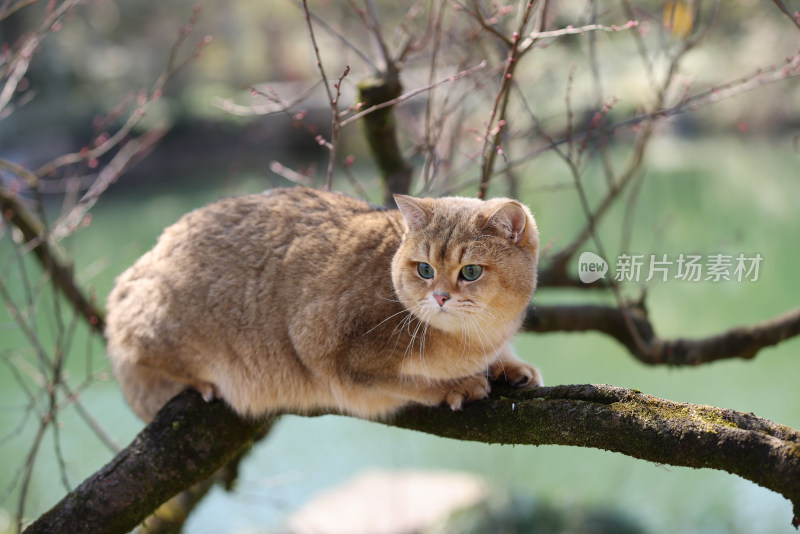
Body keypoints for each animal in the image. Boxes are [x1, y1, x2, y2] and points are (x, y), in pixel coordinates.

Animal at [104, 187, 544, 422]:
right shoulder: (329, 353)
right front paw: (457, 384)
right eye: (424, 269)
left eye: (470, 272)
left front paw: (508, 364)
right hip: (152, 322)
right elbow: (407, 382)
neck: (473, 340)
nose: (439, 295)